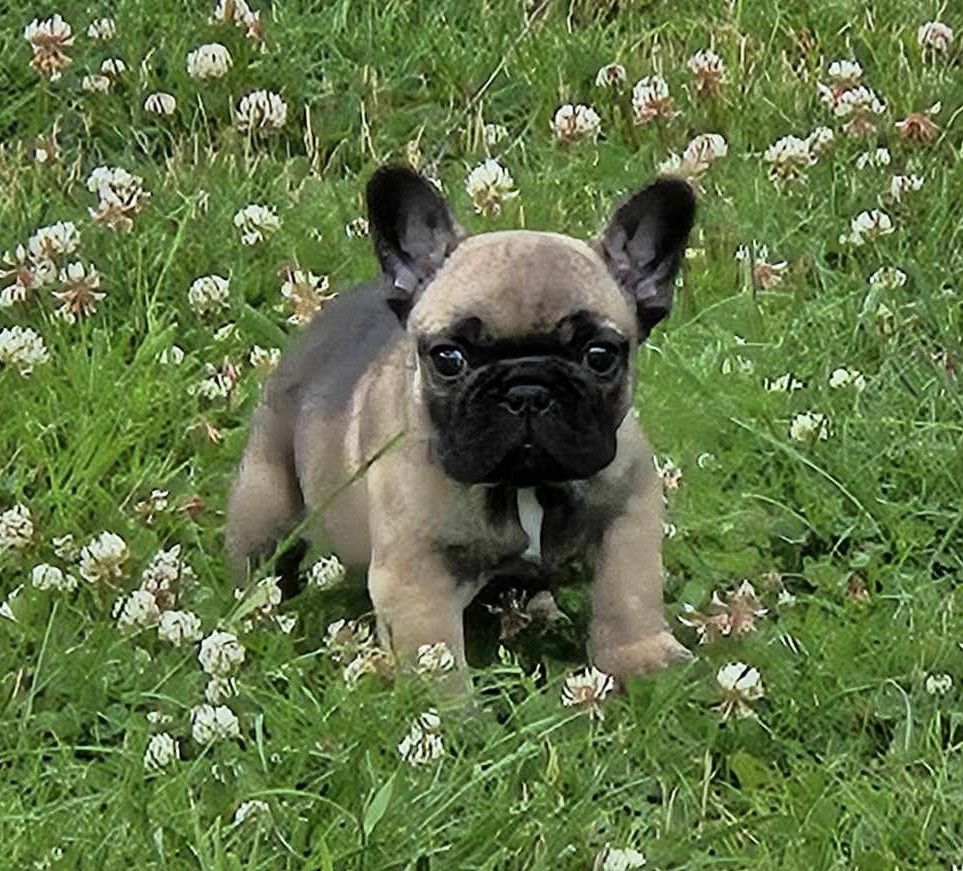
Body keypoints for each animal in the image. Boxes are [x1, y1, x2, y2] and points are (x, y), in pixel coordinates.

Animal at [232, 165, 700, 688]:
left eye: (599, 356)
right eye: (448, 358)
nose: (526, 390)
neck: (525, 486)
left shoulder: (628, 514)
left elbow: (628, 593)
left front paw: (644, 660)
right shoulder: (416, 572)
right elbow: (433, 653)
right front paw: (450, 707)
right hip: (267, 498)